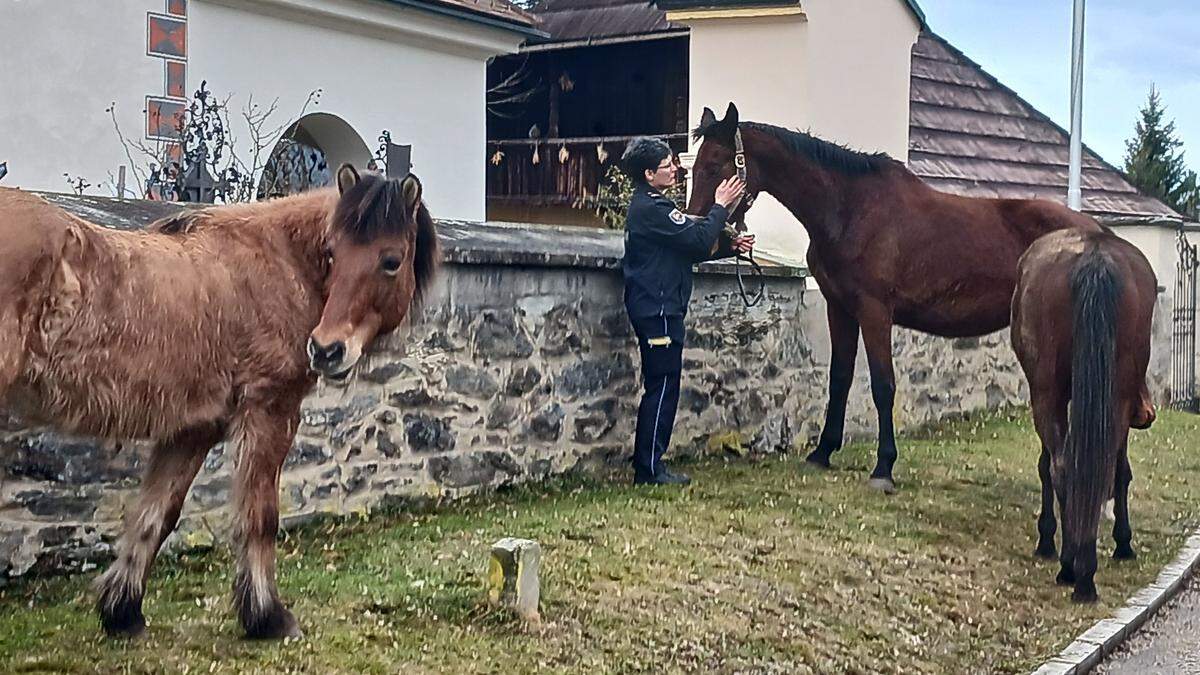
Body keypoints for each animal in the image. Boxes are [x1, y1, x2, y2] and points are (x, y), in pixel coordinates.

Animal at [0, 163, 441, 634]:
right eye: (332, 253)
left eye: (390, 260)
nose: (326, 349)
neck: (277, 262)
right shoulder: (270, 409)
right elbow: (259, 516)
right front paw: (267, 617)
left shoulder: (193, 429)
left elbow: (155, 515)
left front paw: (123, 610)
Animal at [691, 102, 1156, 492]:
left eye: (715, 164)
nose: (701, 228)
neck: (850, 209)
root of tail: (1101, 236)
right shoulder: (840, 308)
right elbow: (839, 378)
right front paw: (823, 452)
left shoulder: (875, 311)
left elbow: (883, 386)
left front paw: (883, 467)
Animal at [1008, 228, 1156, 600]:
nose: (1146, 412)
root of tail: (1094, 256)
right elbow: (1120, 471)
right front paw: (1123, 543)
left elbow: (1047, 465)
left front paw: (1047, 538)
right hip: (1113, 397)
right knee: (1096, 468)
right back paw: (1083, 568)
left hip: (1052, 392)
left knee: (1063, 467)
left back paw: (1072, 566)